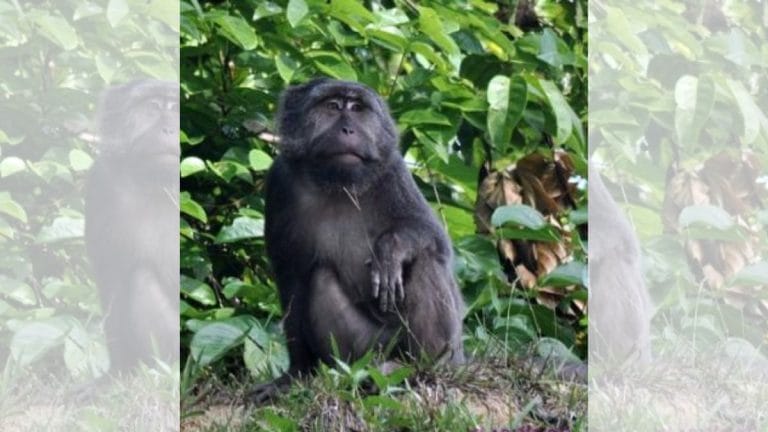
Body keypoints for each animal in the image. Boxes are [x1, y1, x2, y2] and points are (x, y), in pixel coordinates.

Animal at [85, 79, 180, 372]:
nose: (170, 128)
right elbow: (111, 275)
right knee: (142, 277)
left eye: (176, 107)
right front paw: (118, 372)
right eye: (153, 106)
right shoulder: (102, 182)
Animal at [251, 78, 465, 402]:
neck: (337, 184)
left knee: (424, 259)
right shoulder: (279, 183)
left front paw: (390, 250)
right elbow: (292, 281)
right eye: (332, 106)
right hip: (368, 351)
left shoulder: (393, 170)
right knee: (321, 278)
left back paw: (419, 367)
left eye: (356, 108)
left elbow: (434, 238)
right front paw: (295, 375)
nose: (348, 129)